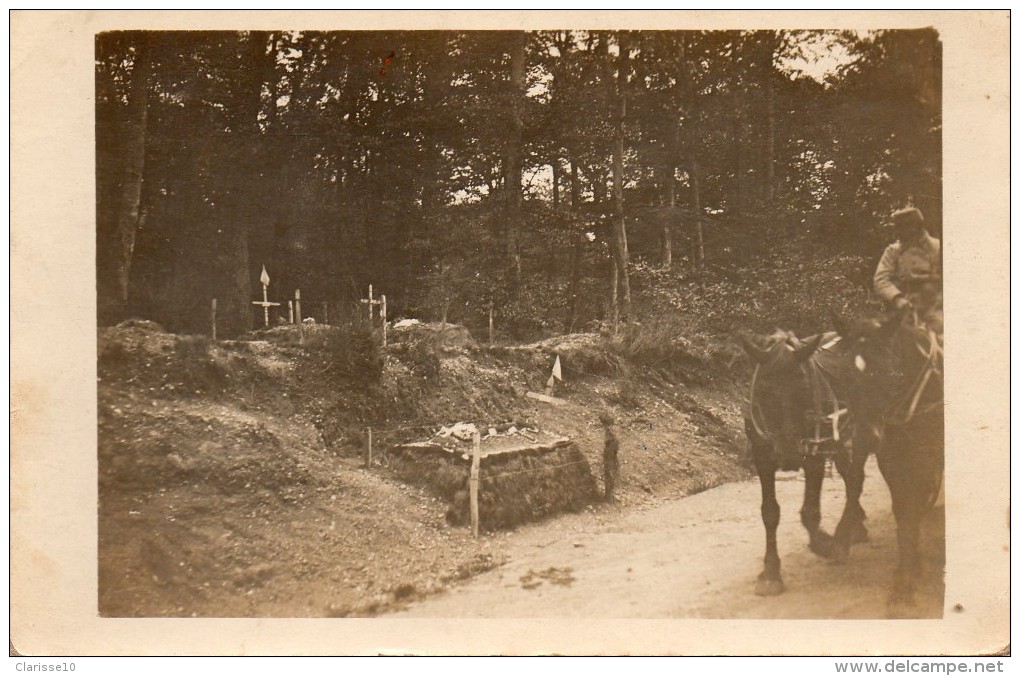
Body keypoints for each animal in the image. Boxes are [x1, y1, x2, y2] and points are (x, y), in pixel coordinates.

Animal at [738, 330, 873, 595]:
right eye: (764, 391)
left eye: (803, 388)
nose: (789, 454)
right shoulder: (762, 456)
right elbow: (770, 512)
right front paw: (771, 571)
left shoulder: (814, 454)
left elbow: (810, 512)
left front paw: (824, 542)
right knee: (849, 473)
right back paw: (856, 525)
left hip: (861, 430)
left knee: (856, 479)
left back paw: (844, 535)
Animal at [836, 312, 946, 611]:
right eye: (846, 374)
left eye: (888, 370)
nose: (866, 438)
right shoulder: (893, 461)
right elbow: (904, 514)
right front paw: (906, 577)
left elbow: (915, 507)